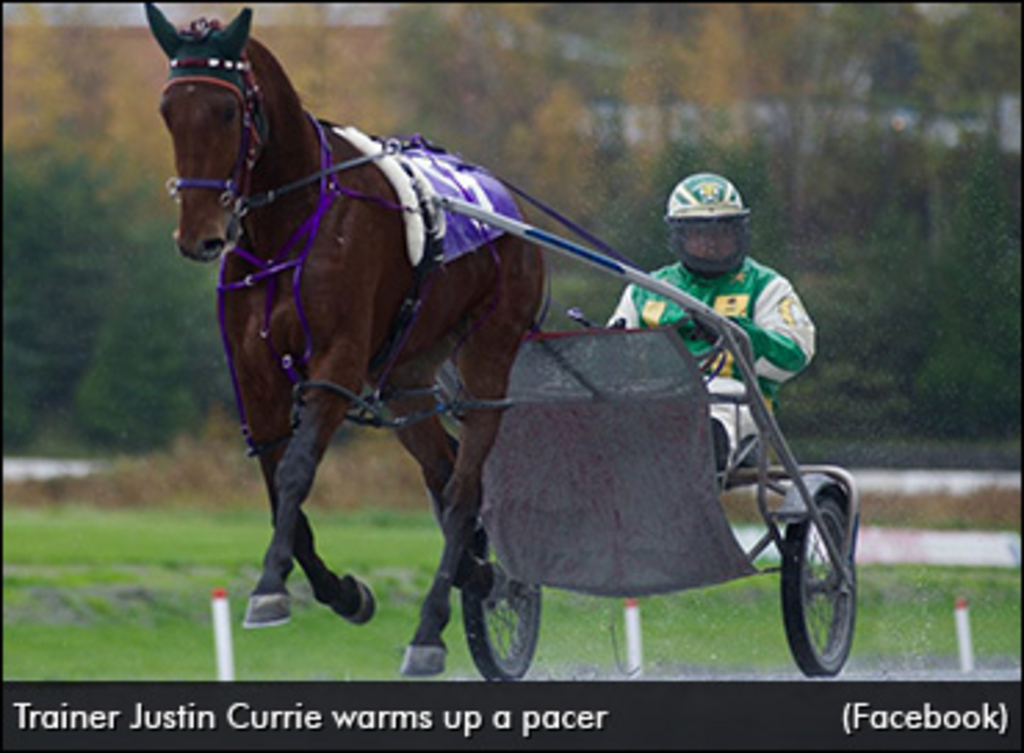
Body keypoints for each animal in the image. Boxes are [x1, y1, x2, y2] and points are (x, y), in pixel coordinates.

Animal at [145, 5, 548, 676]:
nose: (200, 236)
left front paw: (268, 587)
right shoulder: (255, 375)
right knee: (443, 478)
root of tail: (512, 211)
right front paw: (343, 592)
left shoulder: (335, 362)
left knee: (463, 491)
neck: (288, 223)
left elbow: (296, 473)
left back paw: (431, 630)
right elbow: (277, 485)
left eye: (226, 110)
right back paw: (483, 574)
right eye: (168, 109)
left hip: (491, 354)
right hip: (407, 378)